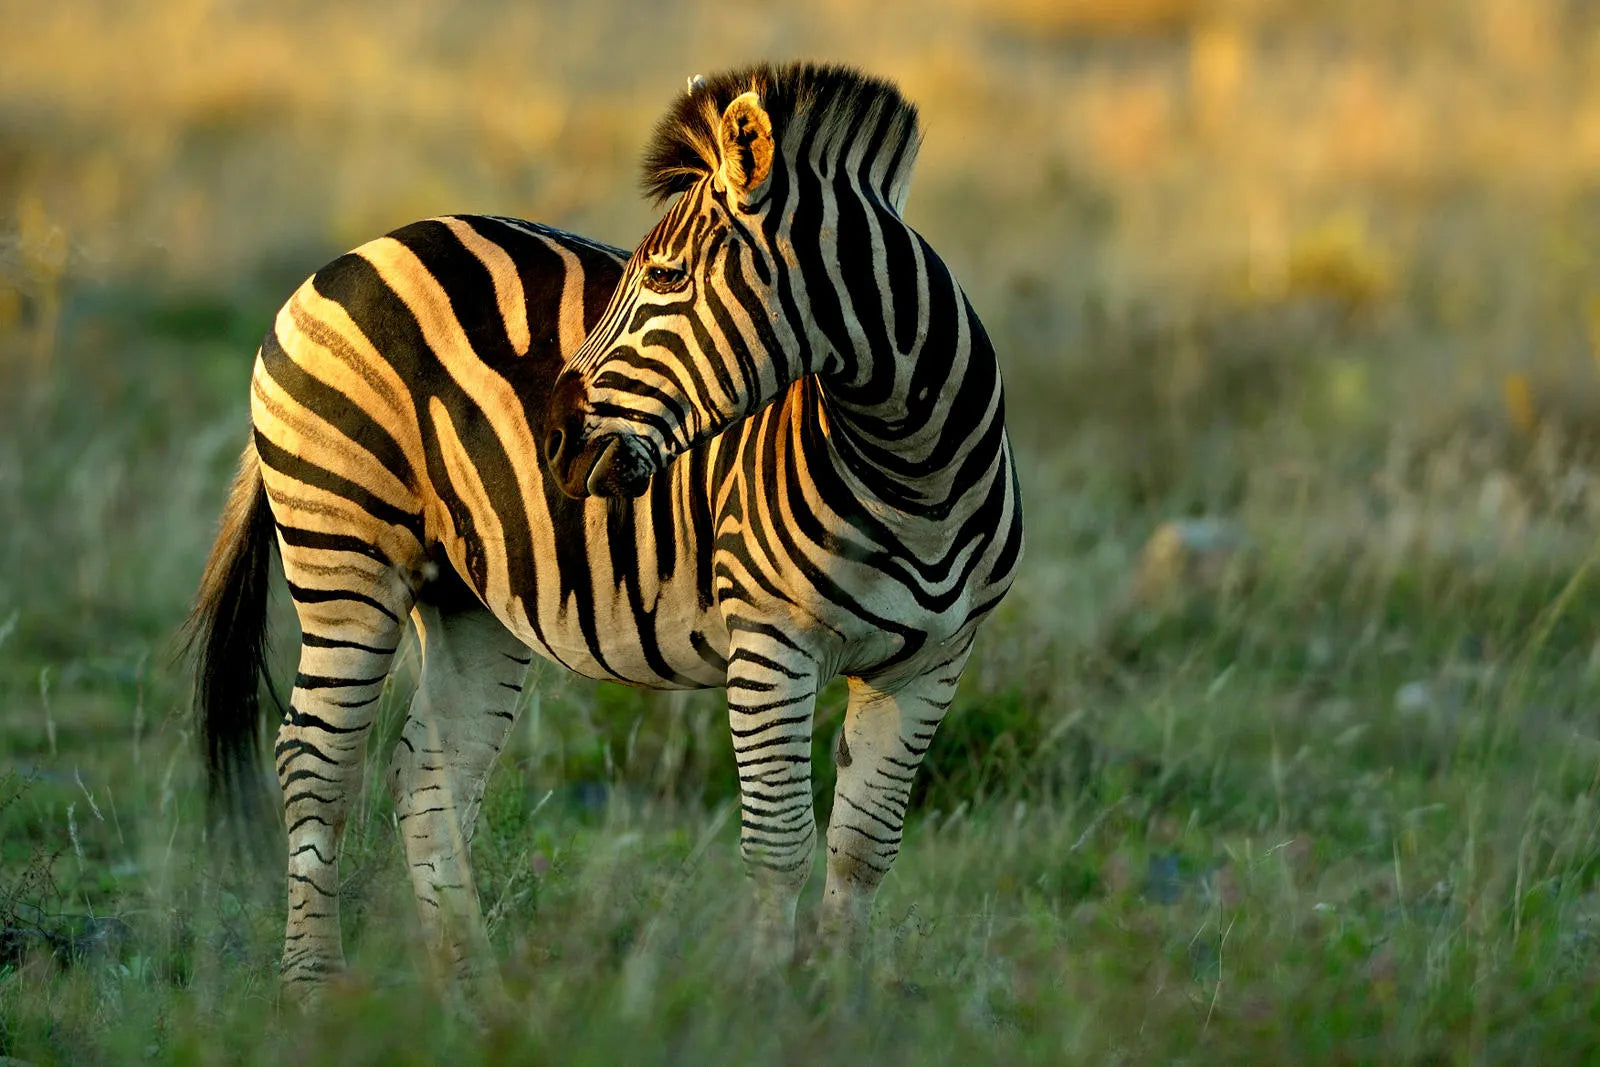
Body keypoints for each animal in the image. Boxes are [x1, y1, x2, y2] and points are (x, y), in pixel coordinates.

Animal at [188, 61, 1022, 1000]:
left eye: (664, 277)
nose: (551, 439)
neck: (912, 474)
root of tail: (352, 254)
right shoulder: (773, 643)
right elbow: (780, 845)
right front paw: (767, 1002)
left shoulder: (932, 663)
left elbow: (862, 850)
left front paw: (842, 1006)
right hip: (346, 551)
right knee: (313, 762)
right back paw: (312, 988)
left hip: (465, 595)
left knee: (427, 775)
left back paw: (473, 992)